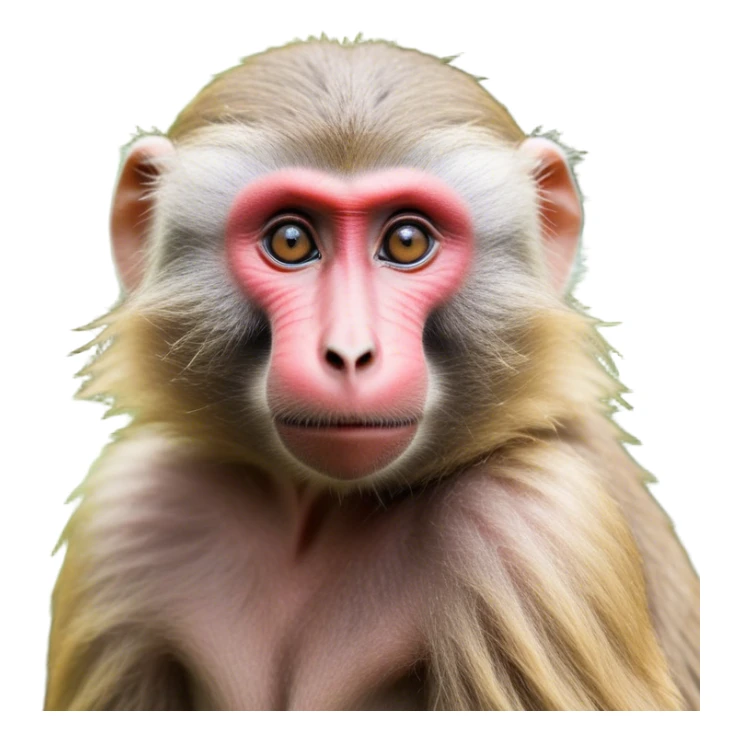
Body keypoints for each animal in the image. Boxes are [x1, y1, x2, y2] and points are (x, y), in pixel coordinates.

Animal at [46, 38, 699, 711]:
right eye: (290, 240)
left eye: (407, 240)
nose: (351, 352)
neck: (313, 512)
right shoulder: (131, 516)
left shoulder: (530, 532)